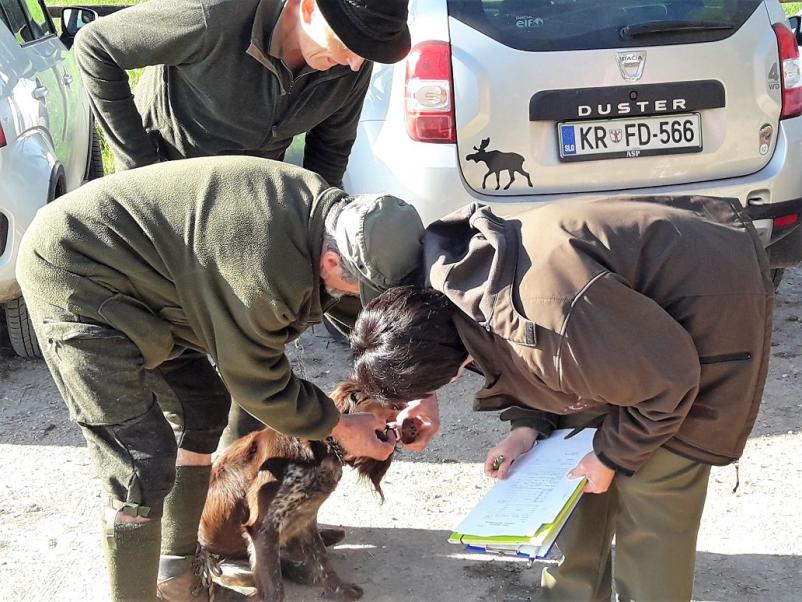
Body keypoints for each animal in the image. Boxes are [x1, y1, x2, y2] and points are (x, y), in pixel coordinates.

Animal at [199, 380, 416, 600]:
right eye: (390, 402)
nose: (414, 422)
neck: (324, 452)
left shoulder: (306, 516)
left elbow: (322, 560)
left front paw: (340, 589)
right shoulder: (263, 526)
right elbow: (275, 585)